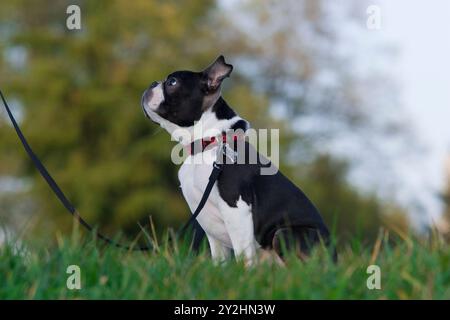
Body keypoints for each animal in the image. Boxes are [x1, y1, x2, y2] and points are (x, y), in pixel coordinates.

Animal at [142, 55, 332, 264]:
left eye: (172, 82)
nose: (151, 83)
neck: (207, 144)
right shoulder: (210, 226)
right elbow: (220, 260)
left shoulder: (236, 209)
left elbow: (243, 253)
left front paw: (243, 271)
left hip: (284, 233)